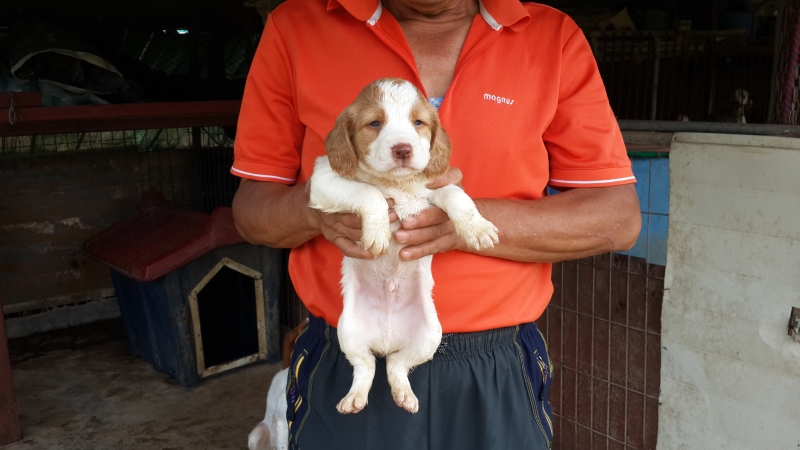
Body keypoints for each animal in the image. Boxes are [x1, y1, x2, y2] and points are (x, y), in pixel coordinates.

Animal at [308, 78, 499, 414]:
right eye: (374, 123)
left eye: (418, 122)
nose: (403, 149)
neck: (395, 183)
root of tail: (386, 340)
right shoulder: (324, 179)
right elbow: (368, 191)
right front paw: (378, 232)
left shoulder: (434, 187)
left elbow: (456, 195)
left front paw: (477, 228)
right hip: (348, 331)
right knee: (366, 365)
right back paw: (354, 399)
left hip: (430, 334)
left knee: (396, 365)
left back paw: (404, 395)